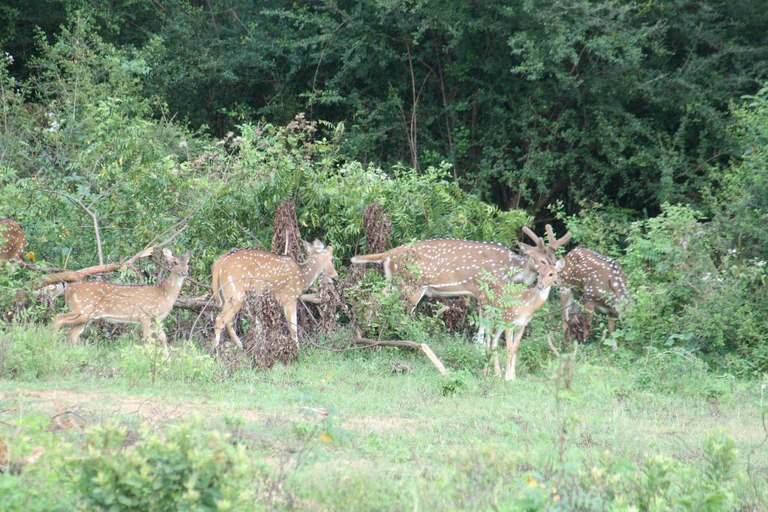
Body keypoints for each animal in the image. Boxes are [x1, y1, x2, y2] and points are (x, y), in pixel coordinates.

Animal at [53, 248, 190, 356]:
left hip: (88, 316)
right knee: (59, 318)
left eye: (188, 263)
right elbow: (147, 340)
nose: (184, 272)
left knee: (73, 332)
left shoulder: (157, 319)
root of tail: (68, 289)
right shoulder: (145, 316)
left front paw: (167, 361)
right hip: (82, 310)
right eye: (175, 262)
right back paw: (52, 341)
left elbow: (163, 339)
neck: (164, 294)